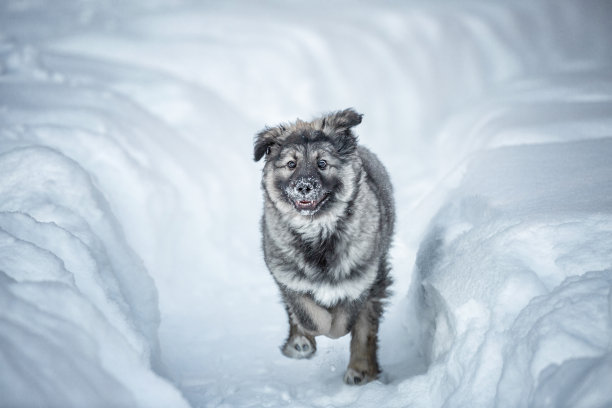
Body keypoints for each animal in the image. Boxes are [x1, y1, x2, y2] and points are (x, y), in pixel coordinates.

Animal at [255, 107, 394, 384]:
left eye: (322, 163)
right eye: (291, 164)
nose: (304, 187)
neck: (318, 230)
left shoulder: (359, 284)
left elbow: (343, 325)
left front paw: (336, 332)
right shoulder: (290, 281)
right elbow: (311, 318)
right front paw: (304, 340)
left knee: (366, 328)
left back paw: (360, 369)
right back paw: (299, 343)